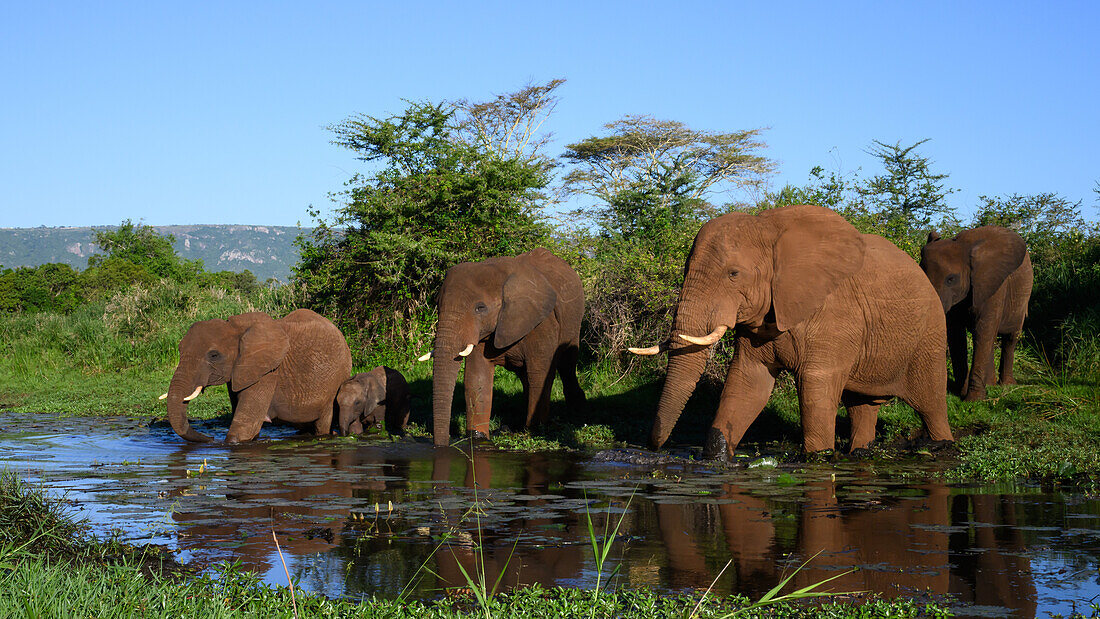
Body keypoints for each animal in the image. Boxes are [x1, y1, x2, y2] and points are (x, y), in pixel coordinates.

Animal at [160, 307, 349, 444]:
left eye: (214, 355)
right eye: (179, 350)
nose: (211, 438)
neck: (236, 329)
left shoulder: (268, 372)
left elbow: (244, 428)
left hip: (336, 380)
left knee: (322, 423)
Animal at [422, 249, 585, 448]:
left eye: (480, 308)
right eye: (438, 306)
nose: (441, 446)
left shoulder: (543, 323)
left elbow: (540, 375)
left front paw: (535, 430)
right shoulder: (482, 332)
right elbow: (477, 378)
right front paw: (478, 437)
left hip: (573, 323)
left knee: (567, 365)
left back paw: (576, 412)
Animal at [633, 205, 950, 457]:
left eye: (733, 274)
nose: (653, 447)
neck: (768, 229)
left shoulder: (835, 311)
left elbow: (815, 384)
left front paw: (818, 457)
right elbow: (747, 381)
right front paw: (717, 457)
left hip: (931, 334)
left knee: (931, 403)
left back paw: (939, 445)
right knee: (862, 407)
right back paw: (860, 452)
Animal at [919, 227, 1029, 402]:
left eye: (951, 279)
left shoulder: (992, 285)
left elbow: (983, 330)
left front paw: (974, 400)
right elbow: (956, 335)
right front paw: (962, 393)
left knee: (1010, 338)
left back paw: (1007, 385)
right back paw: (990, 384)